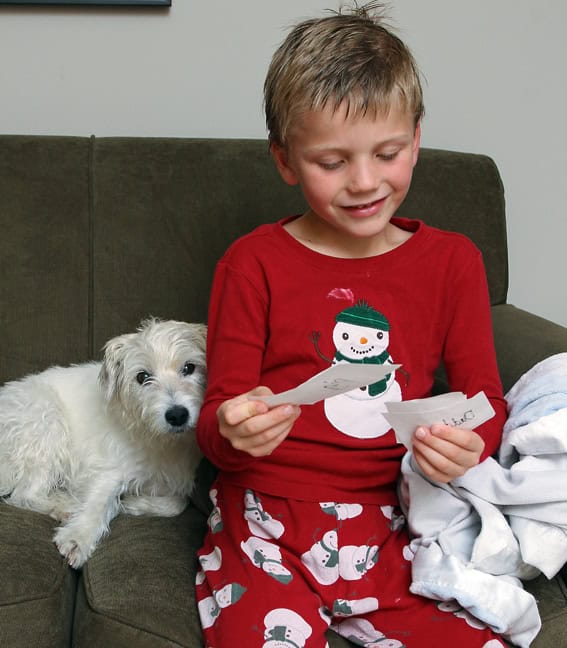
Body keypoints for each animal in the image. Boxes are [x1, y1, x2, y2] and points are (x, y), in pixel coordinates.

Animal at [0, 318, 207, 568]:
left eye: (189, 368)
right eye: (142, 377)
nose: (177, 415)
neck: (159, 439)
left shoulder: (177, 479)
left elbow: (177, 503)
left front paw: (134, 503)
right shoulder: (109, 470)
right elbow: (97, 503)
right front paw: (78, 537)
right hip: (46, 424)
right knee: (23, 495)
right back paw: (66, 506)